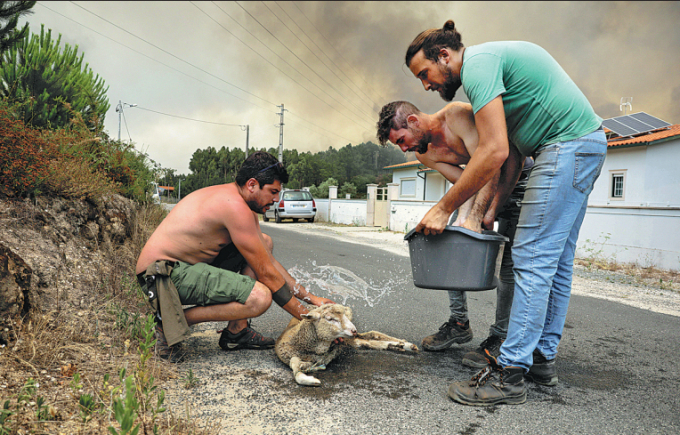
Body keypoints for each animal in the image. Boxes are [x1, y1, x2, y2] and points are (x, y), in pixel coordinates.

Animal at [274, 304, 418, 386]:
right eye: (330, 318)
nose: (353, 330)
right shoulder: (289, 354)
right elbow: (295, 365)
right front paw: (309, 379)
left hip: (349, 338)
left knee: (372, 335)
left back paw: (406, 345)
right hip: (349, 340)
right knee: (366, 341)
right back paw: (399, 345)